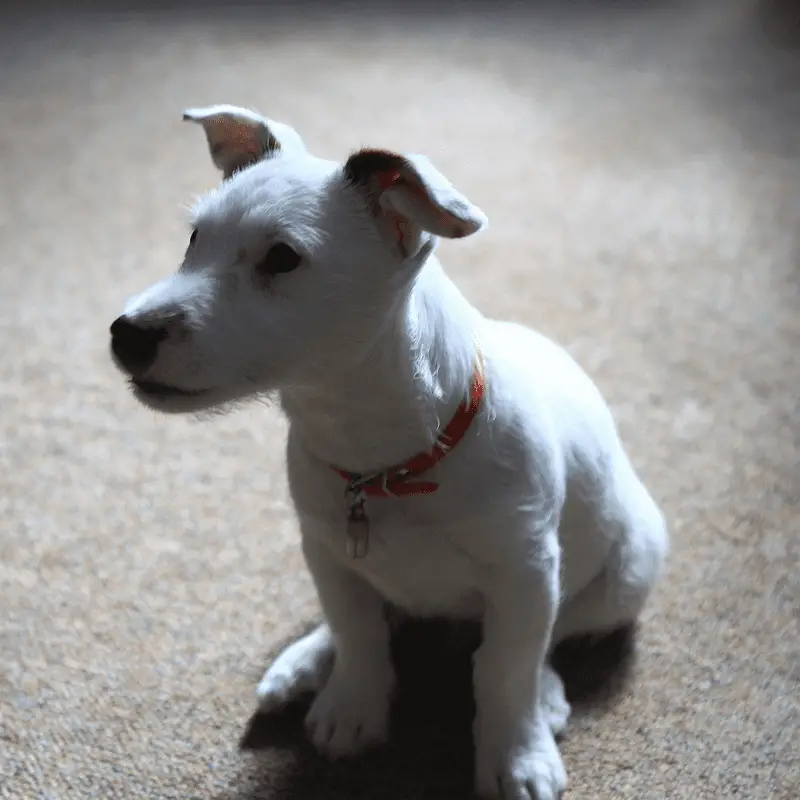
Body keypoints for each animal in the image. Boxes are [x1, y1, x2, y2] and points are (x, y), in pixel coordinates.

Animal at [108, 104, 668, 800]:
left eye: (283, 258)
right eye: (193, 239)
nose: (126, 335)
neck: (388, 461)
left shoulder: (527, 571)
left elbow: (504, 667)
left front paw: (515, 753)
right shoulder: (326, 549)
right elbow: (358, 631)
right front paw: (352, 705)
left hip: (630, 566)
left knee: (553, 633)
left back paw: (545, 693)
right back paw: (306, 661)